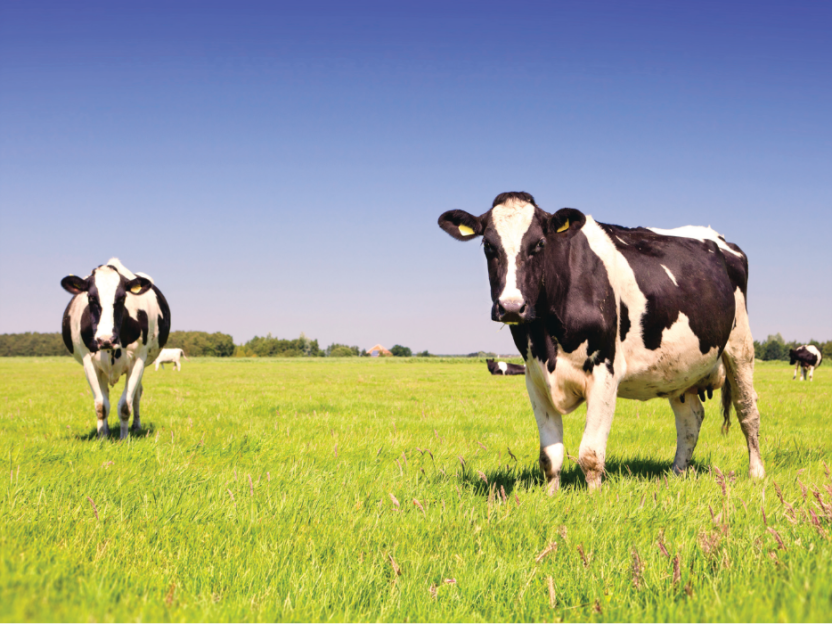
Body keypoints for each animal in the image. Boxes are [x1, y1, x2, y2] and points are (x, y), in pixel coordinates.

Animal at [61, 258, 170, 439]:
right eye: (91, 297)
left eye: (122, 298)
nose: (106, 339)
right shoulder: (89, 362)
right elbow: (101, 405)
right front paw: (102, 437)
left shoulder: (138, 360)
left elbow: (125, 405)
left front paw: (124, 438)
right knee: (106, 395)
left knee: (137, 395)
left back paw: (136, 426)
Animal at [439, 192, 765, 493]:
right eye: (488, 246)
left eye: (539, 244)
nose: (511, 307)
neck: (548, 339)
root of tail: (718, 239)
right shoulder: (535, 377)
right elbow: (549, 456)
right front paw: (550, 496)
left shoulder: (605, 369)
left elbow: (591, 454)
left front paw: (594, 498)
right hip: (680, 370)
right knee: (690, 421)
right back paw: (676, 475)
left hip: (740, 347)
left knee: (747, 411)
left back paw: (756, 473)